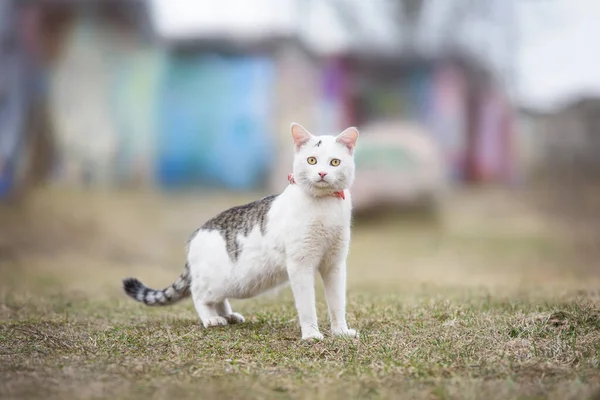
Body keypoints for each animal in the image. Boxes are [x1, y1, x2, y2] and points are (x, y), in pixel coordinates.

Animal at [121, 122, 356, 340]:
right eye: (312, 160)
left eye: (335, 162)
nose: (322, 173)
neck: (325, 205)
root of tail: (196, 234)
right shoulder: (301, 265)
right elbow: (307, 306)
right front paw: (311, 334)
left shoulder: (334, 264)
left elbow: (337, 303)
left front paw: (340, 332)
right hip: (219, 280)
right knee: (199, 295)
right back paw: (212, 319)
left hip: (237, 284)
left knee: (218, 299)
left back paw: (228, 315)